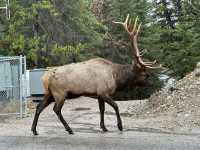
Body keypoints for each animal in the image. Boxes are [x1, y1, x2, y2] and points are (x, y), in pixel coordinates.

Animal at [32, 14, 162, 135]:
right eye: (145, 74)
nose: (152, 83)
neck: (116, 77)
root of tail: (44, 78)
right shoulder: (103, 92)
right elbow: (115, 106)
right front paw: (119, 126)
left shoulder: (99, 94)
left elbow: (102, 110)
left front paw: (103, 127)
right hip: (60, 93)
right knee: (56, 109)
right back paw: (69, 129)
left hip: (49, 93)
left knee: (39, 107)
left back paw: (34, 130)